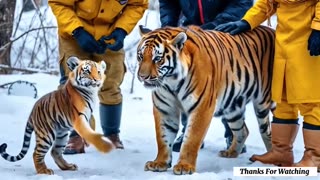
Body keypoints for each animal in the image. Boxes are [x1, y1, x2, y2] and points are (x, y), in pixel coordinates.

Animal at [138, 25, 276, 174]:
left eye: (157, 59)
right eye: (140, 56)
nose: (142, 76)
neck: (171, 82)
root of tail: (272, 31)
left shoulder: (202, 106)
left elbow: (192, 138)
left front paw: (185, 166)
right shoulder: (165, 109)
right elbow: (163, 137)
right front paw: (159, 163)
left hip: (264, 103)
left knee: (268, 131)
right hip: (233, 107)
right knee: (243, 130)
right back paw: (231, 152)